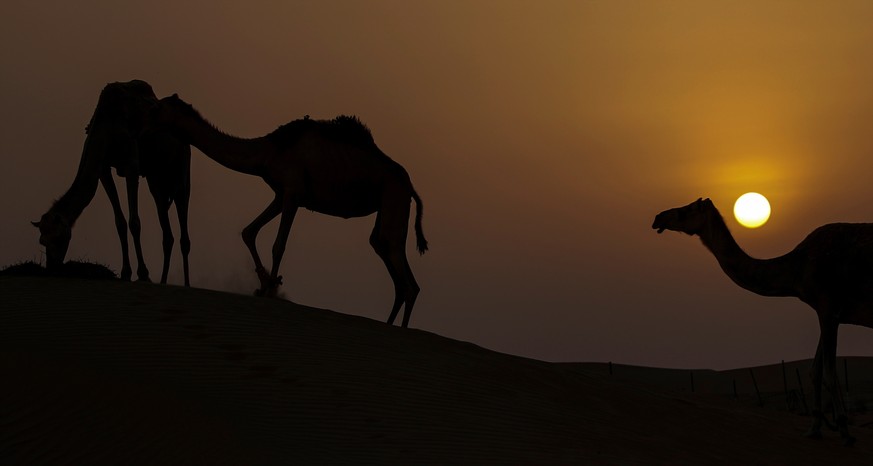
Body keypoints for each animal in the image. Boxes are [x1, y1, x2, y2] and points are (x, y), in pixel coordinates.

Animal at [35, 80, 191, 284]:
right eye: (42, 241)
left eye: (57, 237)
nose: (51, 268)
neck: (107, 125)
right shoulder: (104, 169)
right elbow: (120, 223)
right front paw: (126, 273)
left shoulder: (131, 164)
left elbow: (134, 222)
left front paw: (143, 274)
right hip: (156, 176)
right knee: (166, 227)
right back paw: (163, 281)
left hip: (182, 165)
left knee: (183, 211)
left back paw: (186, 284)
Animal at [157, 93, 430, 328]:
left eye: (160, 106)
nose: (150, 108)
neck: (269, 151)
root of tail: (411, 187)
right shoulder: (280, 195)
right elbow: (249, 231)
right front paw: (264, 284)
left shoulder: (292, 193)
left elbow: (278, 245)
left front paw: (270, 289)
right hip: (386, 204)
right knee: (383, 250)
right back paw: (389, 324)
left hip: (394, 196)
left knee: (403, 271)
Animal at [652, 198, 872, 444]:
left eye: (687, 209)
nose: (658, 218)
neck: (797, 269)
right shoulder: (827, 313)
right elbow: (815, 372)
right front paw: (814, 429)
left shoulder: (828, 308)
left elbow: (829, 372)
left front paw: (845, 430)